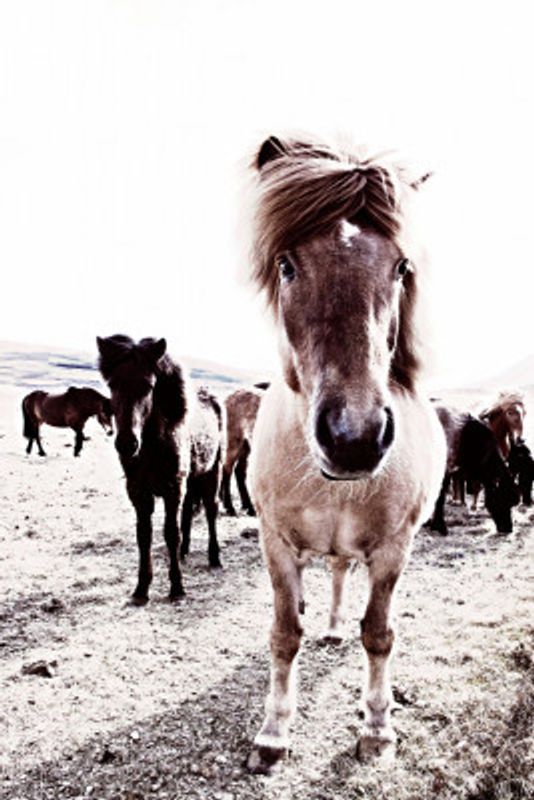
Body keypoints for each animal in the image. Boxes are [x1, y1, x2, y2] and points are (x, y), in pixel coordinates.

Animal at [97, 334, 223, 604]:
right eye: (112, 384)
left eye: (148, 386)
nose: (126, 443)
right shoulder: (138, 491)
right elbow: (144, 535)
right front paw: (141, 589)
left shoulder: (172, 487)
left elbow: (170, 533)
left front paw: (177, 588)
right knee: (188, 512)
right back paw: (184, 553)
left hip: (212, 474)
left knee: (210, 511)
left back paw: (214, 557)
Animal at [220, 387, 264, 516]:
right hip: (233, 442)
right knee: (227, 470)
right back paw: (230, 508)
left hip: (246, 446)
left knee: (239, 472)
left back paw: (249, 508)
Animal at [245, 135, 446, 773]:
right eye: (287, 265)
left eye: (401, 267)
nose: (353, 435)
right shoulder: (276, 542)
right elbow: (284, 633)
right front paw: (273, 734)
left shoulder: (393, 549)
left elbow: (379, 633)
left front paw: (378, 728)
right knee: (333, 573)